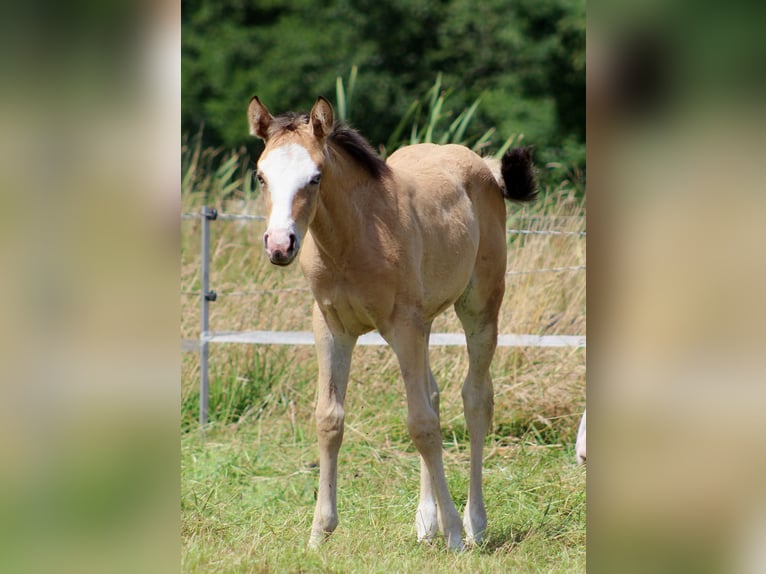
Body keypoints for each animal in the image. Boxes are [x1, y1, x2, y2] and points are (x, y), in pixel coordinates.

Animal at [249, 97, 536, 552]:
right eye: (261, 175)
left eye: (315, 177)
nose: (280, 246)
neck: (354, 238)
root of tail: (485, 167)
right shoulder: (331, 328)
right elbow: (330, 419)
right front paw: (319, 532)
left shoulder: (403, 326)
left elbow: (422, 424)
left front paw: (454, 533)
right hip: (426, 320)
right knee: (433, 395)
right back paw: (425, 521)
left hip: (479, 308)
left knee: (475, 401)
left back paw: (474, 523)